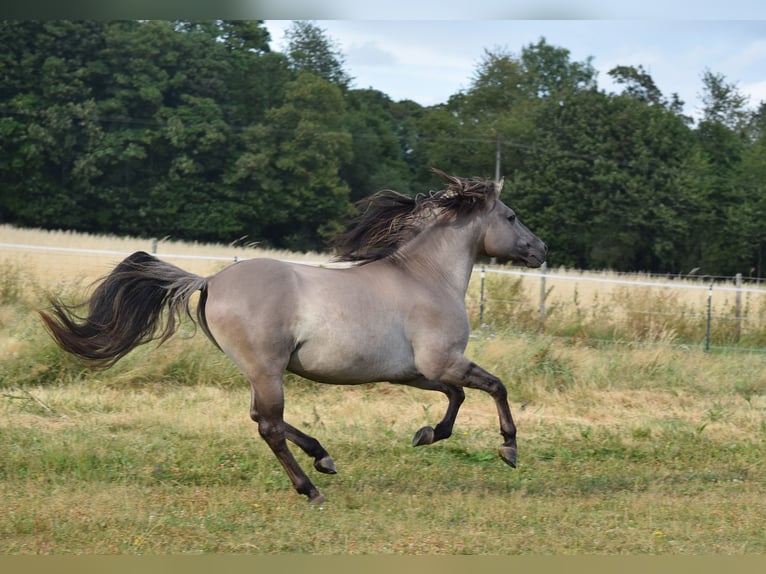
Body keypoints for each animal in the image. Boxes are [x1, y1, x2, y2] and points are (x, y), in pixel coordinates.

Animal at [39, 168, 547, 504]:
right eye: (511, 216)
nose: (541, 250)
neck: (425, 277)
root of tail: (210, 281)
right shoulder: (442, 361)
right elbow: (496, 387)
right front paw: (509, 448)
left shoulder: (418, 372)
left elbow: (456, 398)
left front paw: (426, 435)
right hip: (267, 369)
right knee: (268, 425)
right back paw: (312, 488)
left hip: (260, 371)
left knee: (263, 419)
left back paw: (324, 457)